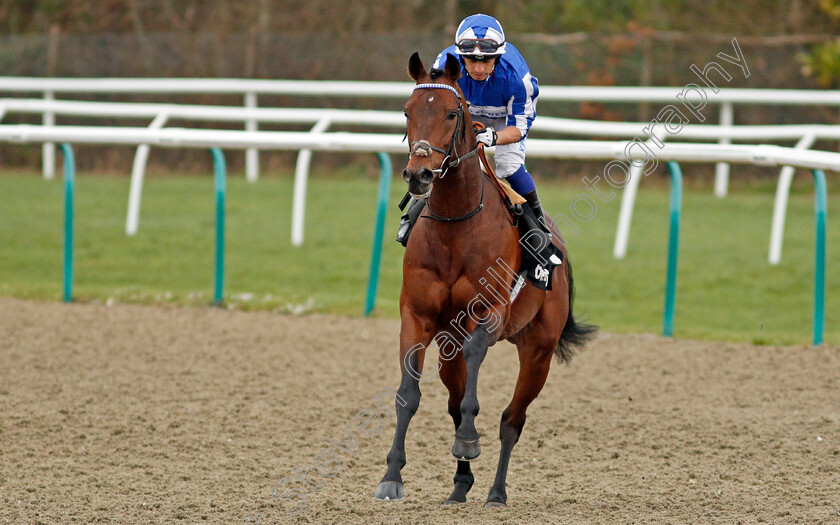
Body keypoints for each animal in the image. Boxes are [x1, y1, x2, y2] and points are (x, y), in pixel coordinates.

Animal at [374, 51, 596, 506]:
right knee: (455, 400)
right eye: (407, 111)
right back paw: (461, 486)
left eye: (451, 112)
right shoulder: (417, 317)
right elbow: (408, 394)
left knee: (512, 419)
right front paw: (392, 474)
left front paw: (467, 441)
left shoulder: (490, 313)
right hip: (449, 348)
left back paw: (496, 491)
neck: (457, 226)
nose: (419, 175)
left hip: (539, 349)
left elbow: (476, 371)